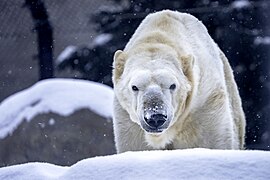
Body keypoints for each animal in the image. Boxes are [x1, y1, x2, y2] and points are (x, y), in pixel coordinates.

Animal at [111, 10, 245, 153]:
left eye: (172, 85)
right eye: (134, 87)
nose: (156, 117)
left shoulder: (206, 102)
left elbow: (213, 141)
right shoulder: (127, 119)